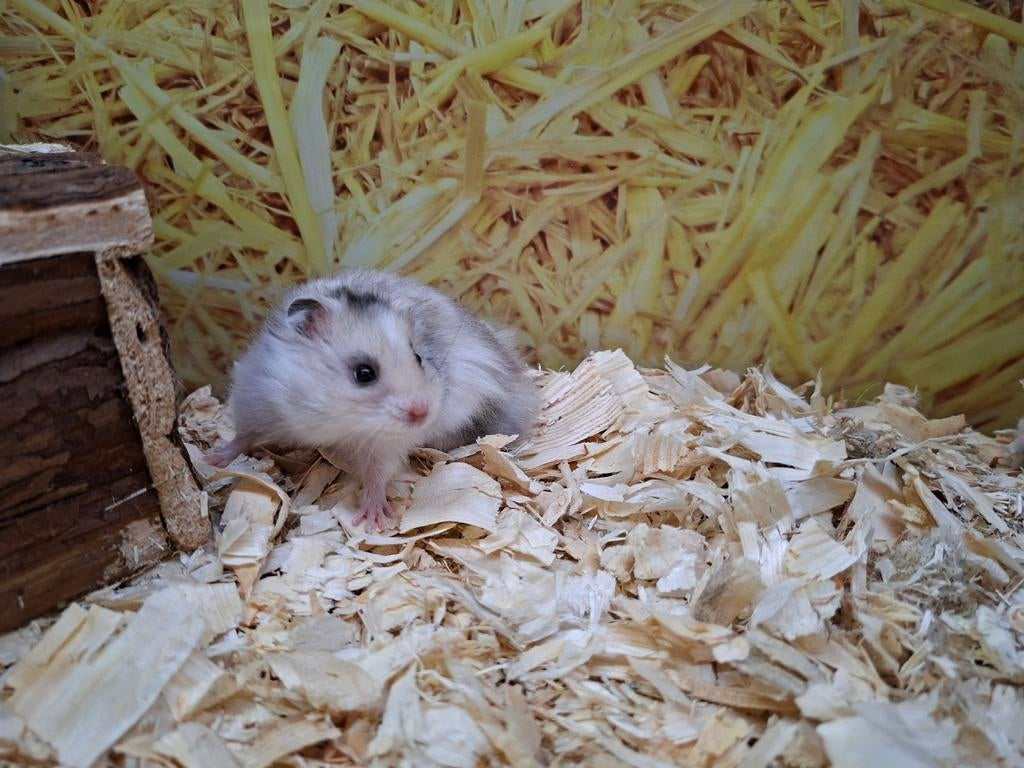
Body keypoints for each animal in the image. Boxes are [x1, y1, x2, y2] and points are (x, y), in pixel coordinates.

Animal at [204, 269, 538, 530]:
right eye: (364, 373)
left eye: (419, 358)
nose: (423, 413)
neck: (334, 418)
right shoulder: (257, 399)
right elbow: (244, 435)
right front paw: (213, 461)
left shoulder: (386, 444)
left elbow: (378, 475)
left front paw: (374, 520)